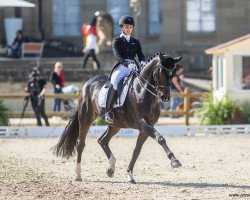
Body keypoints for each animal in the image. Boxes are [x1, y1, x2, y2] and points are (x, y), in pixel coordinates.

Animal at [53, 52, 182, 184]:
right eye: (160, 72)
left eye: (173, 74)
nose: (165, 96)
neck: (141, 90)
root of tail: (89, 82)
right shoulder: (143, 123)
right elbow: (160, 139)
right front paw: (174, 161)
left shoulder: (145, 128)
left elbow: (137, 151)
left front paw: (130, 175)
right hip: (86, 119)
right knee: (81, 144)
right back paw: (78, 174)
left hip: (115, 125)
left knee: (102, 140)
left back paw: (111, 169)